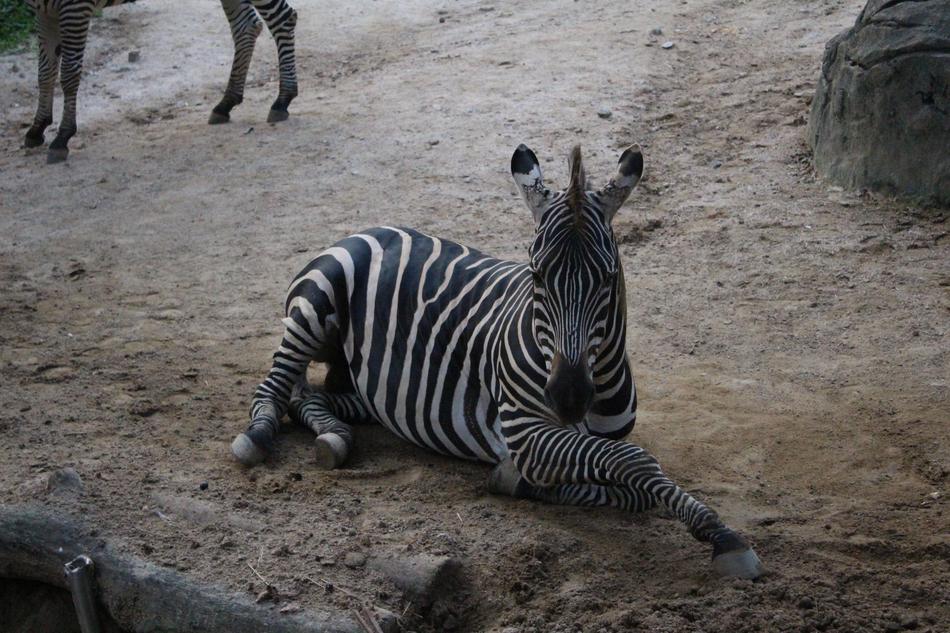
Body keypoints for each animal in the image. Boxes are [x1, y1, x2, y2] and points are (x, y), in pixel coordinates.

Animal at [21, 0, 298, 163]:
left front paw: (62, 136)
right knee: (247, 26)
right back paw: (226, 103)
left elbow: (68, 74)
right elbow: (44, 72)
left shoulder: (75, 8)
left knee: (284, 17)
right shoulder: (43, 10)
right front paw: (37, 128)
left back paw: (283, 99)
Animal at [231, 144, 764, 580]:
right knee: (274, 387)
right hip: (314, 304)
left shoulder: (574, 439)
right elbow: (633, 463)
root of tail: (375, 226)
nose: (568, 396)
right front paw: (723, 537)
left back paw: (334, 436)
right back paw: (258, 436)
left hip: (370, 389)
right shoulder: (526, 432)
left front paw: (525, 482)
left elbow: (630, 481)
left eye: (609, 277)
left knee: (310, 394)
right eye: (536, 275)